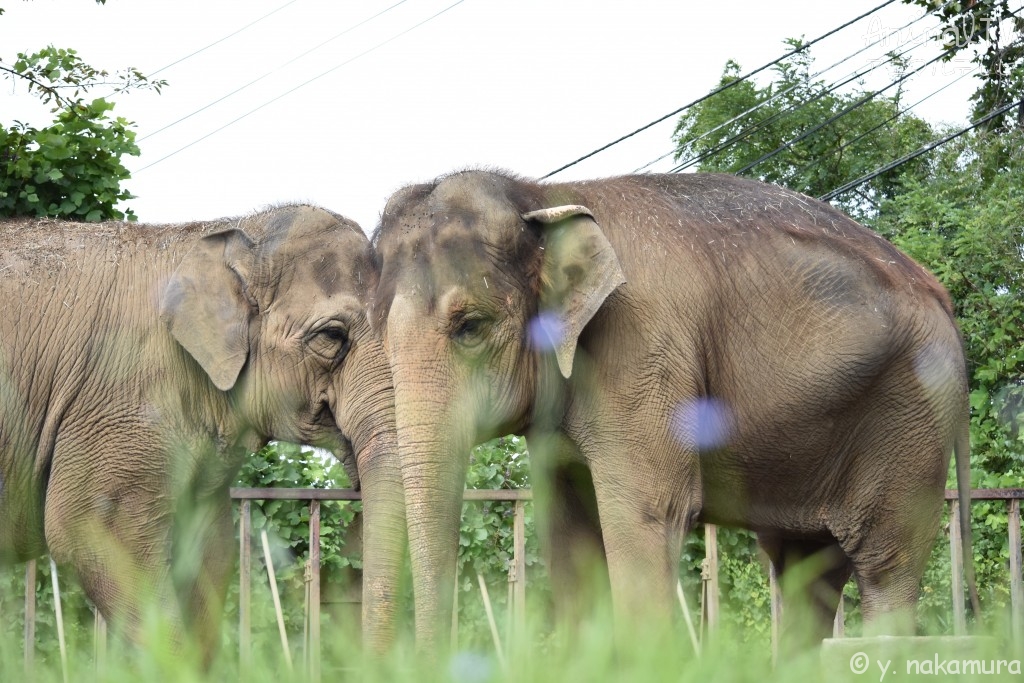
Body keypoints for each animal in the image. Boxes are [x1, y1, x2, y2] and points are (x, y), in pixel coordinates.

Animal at [372, 171, 978, 651]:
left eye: (469, 326)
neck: (542, 196)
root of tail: (940, 294)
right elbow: (569, 535)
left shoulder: (643, 352)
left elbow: (646, 518)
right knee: (805, 570)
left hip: (911, 420)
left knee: (885, 566)